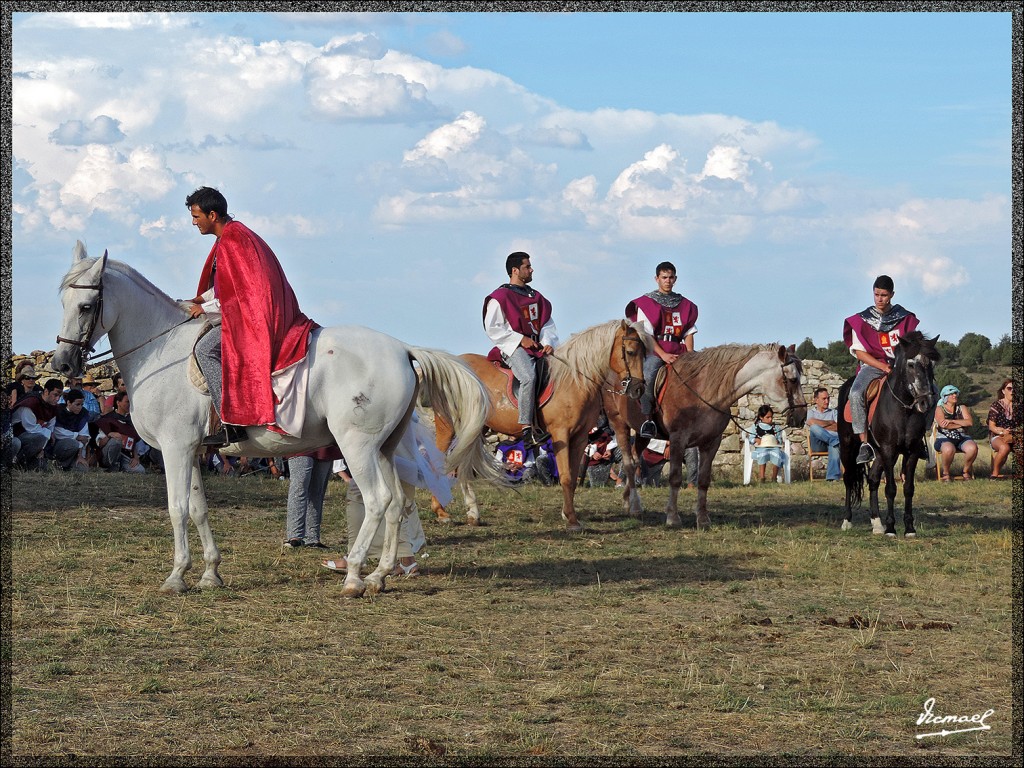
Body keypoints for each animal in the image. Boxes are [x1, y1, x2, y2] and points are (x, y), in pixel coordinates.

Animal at [49, 243, 501, 598]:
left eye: (86, 306)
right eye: (62, 304)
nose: (63, 363)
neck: (163, 352)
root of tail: (404, 349)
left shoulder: (175, 448)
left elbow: (177, 509)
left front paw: (177, 576)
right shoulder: (193, 451)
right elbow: (198, 509)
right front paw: (210, 573)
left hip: (357, 447)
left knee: (377, 501)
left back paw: (354, 577)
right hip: (383, 448)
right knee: (397, 505)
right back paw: (379, 576)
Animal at [432, 321, 647, 532]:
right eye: (630, 352)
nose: (638, 389)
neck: (574, 381)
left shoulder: (580, 438)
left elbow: (572, 478)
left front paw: (567, 513)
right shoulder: (561, 435)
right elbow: (566, 477)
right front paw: (572, 520)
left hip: (476, 429)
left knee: (463, 466)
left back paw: (473, 514)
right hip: (449, 427)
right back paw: (441, 513)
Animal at [598, 342, 806, 528]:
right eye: (792, 380)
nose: (802, 416)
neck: (704, 391)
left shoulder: (711, 442)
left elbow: (704, 480)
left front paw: (703, 518)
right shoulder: (678, 440)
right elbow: (675, 478)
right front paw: (672, 517)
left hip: (643, 434)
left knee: (634, 460)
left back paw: (629, 501)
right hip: (620, 425)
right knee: (628, 462)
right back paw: (634, 506)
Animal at [839, 327, 937, 536]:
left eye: (931, 363)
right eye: (910, 364)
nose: (926, 402)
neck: (903, 409)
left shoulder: (911, 451)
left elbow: (908, 488)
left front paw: (909, 527)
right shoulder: (888, 449)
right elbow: (891, 488)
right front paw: (891, 527)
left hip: (878, 453)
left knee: (873, 480)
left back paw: (877, 523)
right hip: (848, 445)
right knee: (849, 479)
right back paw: (847, 520)